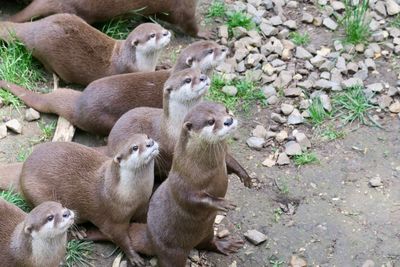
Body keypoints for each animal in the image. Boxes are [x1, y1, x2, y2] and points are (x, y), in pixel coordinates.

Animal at [0, 13, 170, 85]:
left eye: (161, 27)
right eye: (152, 35)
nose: (167, 33)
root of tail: (34, 29)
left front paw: (163, 65)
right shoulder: (130, 71)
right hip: (47, 54)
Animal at [19, 137, 159, 266]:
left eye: (147, 137)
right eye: (135, 147)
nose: (150, 142)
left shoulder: (143, 205)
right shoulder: (113, 220)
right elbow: (121, 239)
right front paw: (134, 257)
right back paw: (77, 231)